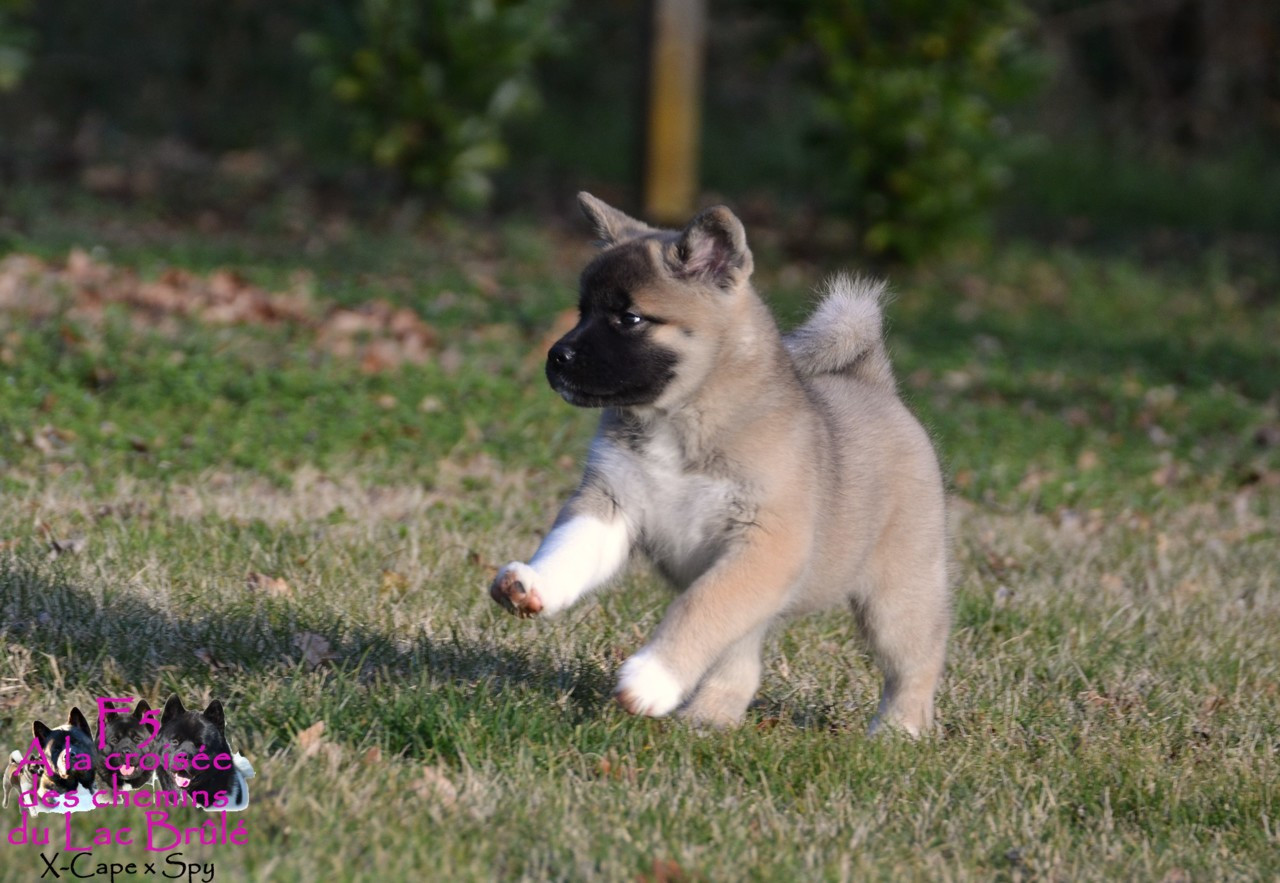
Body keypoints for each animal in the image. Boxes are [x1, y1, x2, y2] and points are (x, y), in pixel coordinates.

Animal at [488, 193, 949, 734]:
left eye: (629, 318)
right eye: (582, 311)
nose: (555, 357)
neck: (680, 423)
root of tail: (876, 383)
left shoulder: (762, 548)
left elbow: (698, 608)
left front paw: (649, 678)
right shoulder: (610, 503)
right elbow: (569, 549)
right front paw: (533, 584)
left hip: (895, 600)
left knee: (915, 664)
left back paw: (898, 730)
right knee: (740, 662)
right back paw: (707, 718)